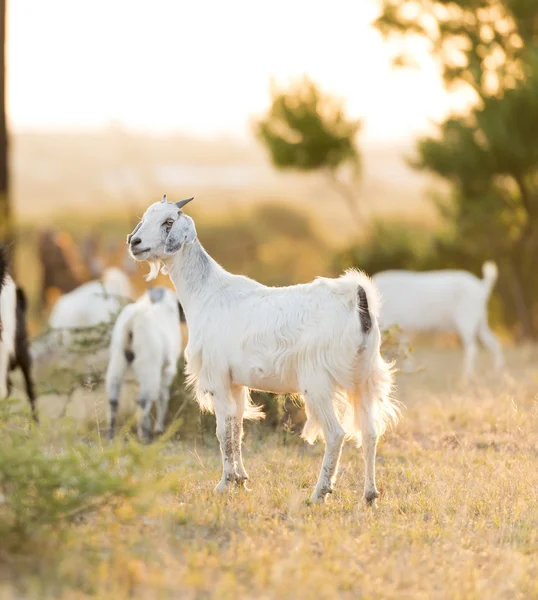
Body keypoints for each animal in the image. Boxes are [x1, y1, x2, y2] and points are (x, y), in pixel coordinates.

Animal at [104, 284, 184, 442]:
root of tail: (132, 321)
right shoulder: (167, 370)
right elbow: (162, 396)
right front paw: (159, 428)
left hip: (117, 361)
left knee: (113, 399)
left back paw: (110, 435)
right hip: (149, 366)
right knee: (143, 400)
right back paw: (145, 436)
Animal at [127, 197, 398, 506]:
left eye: (168, 222)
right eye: (145, 217)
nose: (134, 242)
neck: (208, 294)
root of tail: (358, 301)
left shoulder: (218, 376)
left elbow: (222, 431)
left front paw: (224, 484)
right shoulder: (235, 382)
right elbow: (237, 428)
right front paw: (241, 481)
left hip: (318, 383)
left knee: (336, 434)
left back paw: (319, 493)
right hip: (363, 380)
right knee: (370, 433)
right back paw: (370, 496)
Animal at [370, 262, 500, 378]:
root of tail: (481, 287)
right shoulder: (403, 331)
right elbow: (403, 353)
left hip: (467, 320)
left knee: (472, 349)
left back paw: (465, 378)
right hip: (480, 321)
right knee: (493, 342)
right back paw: (496, 374)